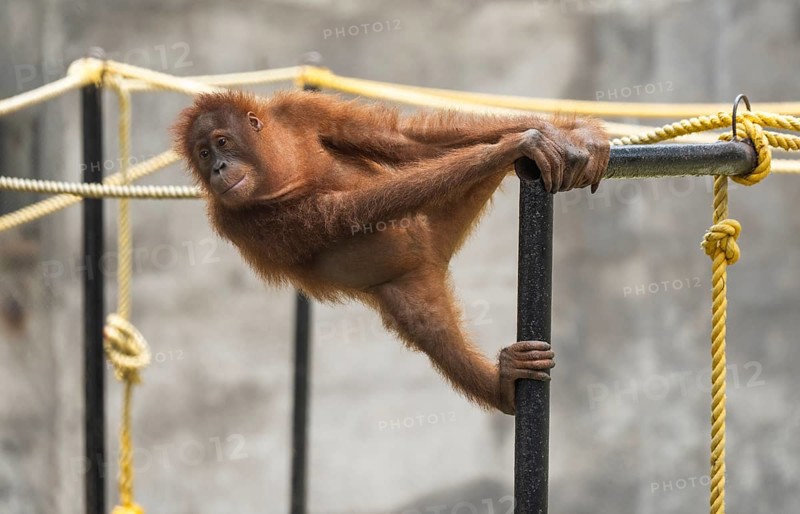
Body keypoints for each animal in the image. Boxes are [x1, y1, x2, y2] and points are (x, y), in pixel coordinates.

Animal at [172, 90, 609, 415]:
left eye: (222, 143)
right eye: (203, 154)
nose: (217, 168)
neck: (275, 162)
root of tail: (434, 256)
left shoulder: (302, 109)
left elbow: (402, 139)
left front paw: (571, 131)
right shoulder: (235, 221)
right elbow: (343, 212)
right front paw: (513, 145)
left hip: (433, 222)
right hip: (406, 282)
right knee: (430, 328)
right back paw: (503, 387)